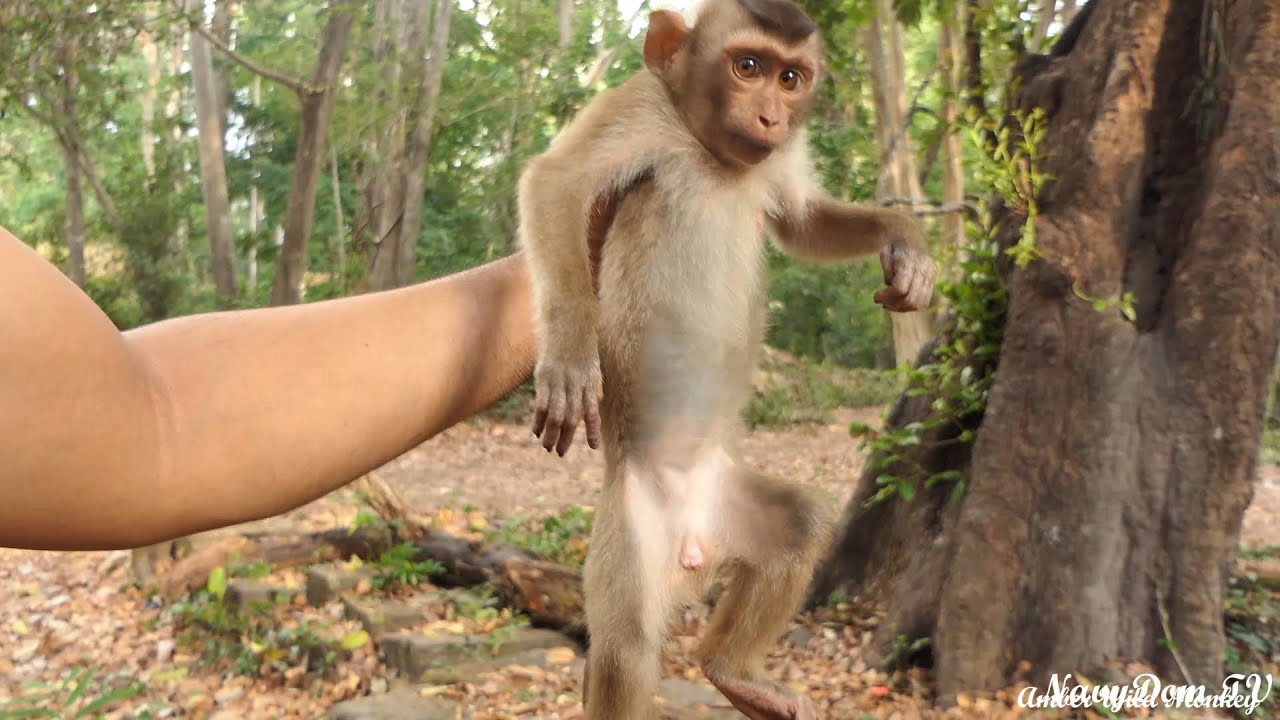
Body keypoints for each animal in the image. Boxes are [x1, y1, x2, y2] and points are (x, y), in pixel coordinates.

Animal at [516, 1, 936, 718]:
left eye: (790, 78)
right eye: (747, 67)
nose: (770, 117)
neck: (715, 154)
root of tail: (695, 547)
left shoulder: (778, 159)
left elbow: (802, 221)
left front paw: (904, 242)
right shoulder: (642, 107)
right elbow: (558, 183)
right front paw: (570, 349)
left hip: (733, 503)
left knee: (801, 522)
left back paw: (734, 670)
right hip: (633, 530)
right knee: (625, 649)